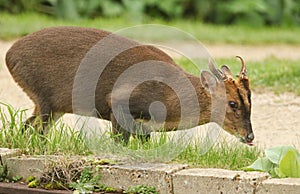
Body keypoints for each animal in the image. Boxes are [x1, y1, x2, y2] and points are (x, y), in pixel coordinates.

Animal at [4, 26, 254, 146]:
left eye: (250, 101)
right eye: (232, 103)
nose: (250, 136)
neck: (170, 99)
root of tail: (9, 55)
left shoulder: (144, 129)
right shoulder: (118, 103)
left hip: (53, 106)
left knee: (28, 127)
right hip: (43, 99)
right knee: (34, 128)